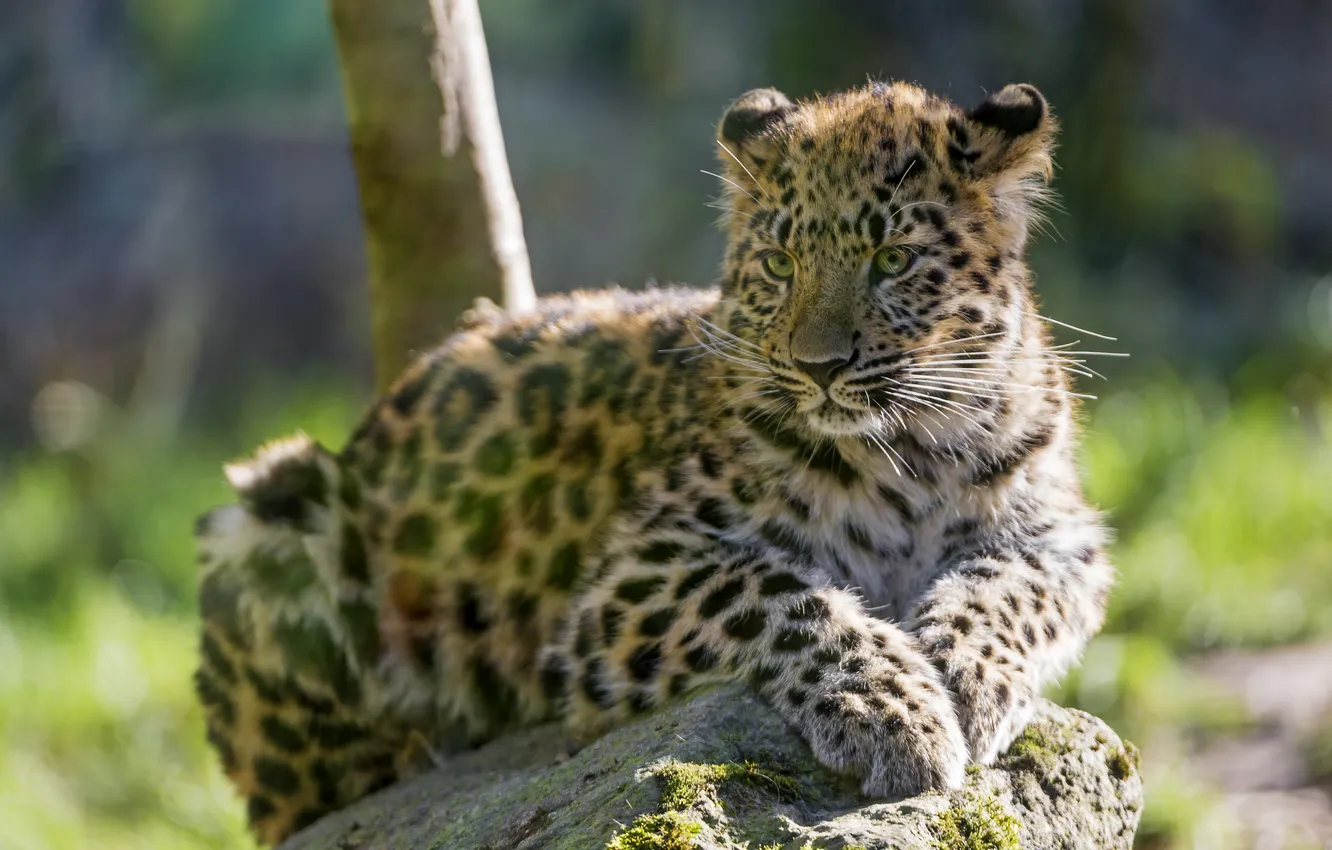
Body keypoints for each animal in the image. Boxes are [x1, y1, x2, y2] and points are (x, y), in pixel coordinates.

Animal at [193, 79, 1114, 845]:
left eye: (894, 261)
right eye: (780, 263)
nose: (818, 366)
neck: (910, 452)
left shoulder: (1061, 533)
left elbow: (1009, 590)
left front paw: (966, 676)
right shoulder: (634, 573)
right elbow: (783, 595)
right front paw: (895, 712)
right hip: (273, 519)